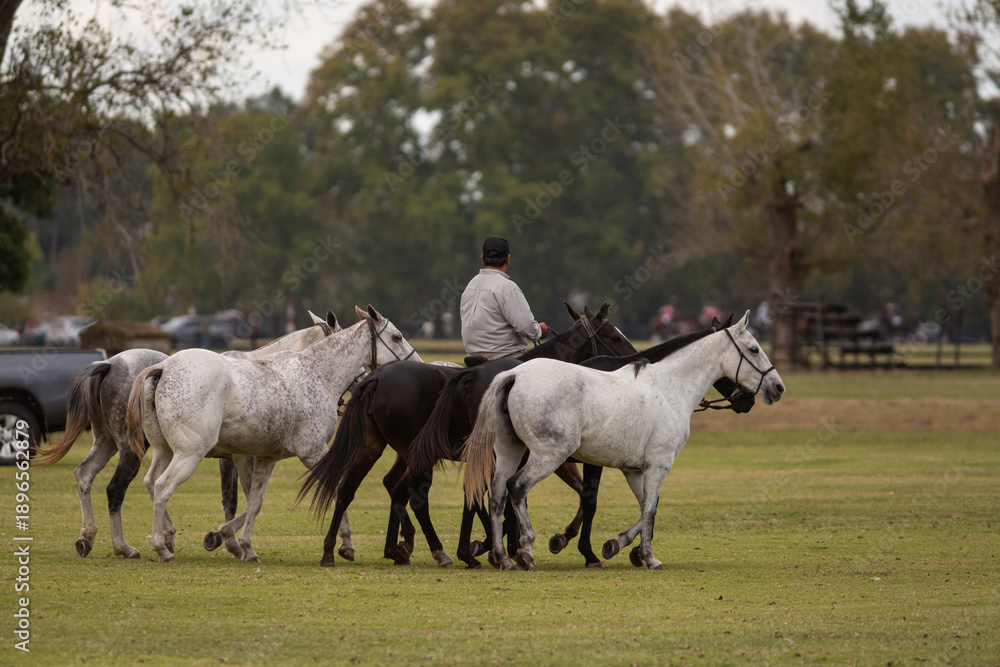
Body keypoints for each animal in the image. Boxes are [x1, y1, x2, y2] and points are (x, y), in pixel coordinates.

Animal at [36, 310, 340, 560]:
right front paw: (229, 541)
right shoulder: (240, 456)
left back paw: (89, 537)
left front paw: (229, 540)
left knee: (86, 475)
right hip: (131, 449)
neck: (268, 375)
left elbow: (242, 497)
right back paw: (126, 546)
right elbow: (240, 497)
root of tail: (110, 364)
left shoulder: (239, 455)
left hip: (107, 442)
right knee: (118, 489)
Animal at [124, 305, 418, 563]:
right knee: (162, 487)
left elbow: (254, 501)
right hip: (189, 454)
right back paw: (162, 548)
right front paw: (346, 543)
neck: (317, 373)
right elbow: (335, 489)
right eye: (397, 337)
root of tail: (164, 368)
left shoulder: (265, 457)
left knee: (151, 482)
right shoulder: (312, 452)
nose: (416, 364)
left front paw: (242, 545)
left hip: (165, 451)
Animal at [297, 302, 637, 568]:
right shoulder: (545, 455)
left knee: (352, 489)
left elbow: (488, 499)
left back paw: (340, 550)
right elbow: (571, 495)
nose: (635, 359)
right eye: (613, 336)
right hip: (417, 454)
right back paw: (439, 552)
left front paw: (495, 547)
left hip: (375, 446)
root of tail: (377, 378)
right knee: (413, 497)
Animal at [408, 314, 756, 568]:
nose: (746, 401)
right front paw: (590, 550)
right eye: (614, 336)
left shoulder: (604, 462)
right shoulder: (593, 461)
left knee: (485, 494)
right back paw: (483, 551)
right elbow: (593, 501)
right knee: (493, 492)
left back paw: (483, 551)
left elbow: (634, 502)